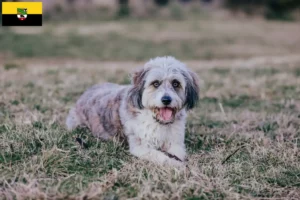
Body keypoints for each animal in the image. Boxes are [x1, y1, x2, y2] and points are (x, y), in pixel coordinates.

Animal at [66, 56, 199, 167]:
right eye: (155, 83)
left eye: (176, 83)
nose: (166, 100)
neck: (157, 122)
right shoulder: (140, 146)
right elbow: (159, 156)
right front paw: (176, 164)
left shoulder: (175, 142)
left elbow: (178, 153)